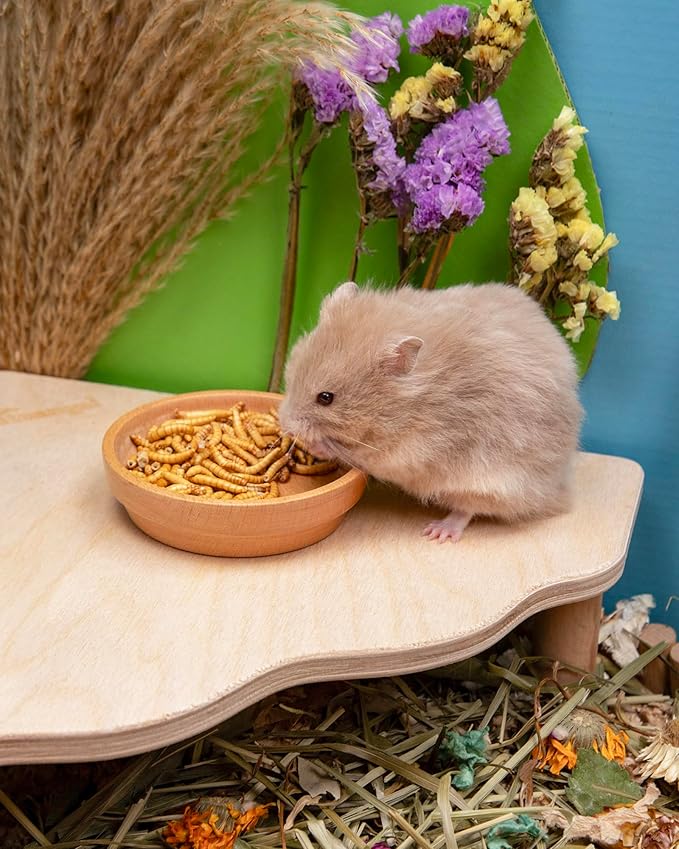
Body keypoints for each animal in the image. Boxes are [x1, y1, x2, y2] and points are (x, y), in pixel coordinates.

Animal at [278, 281, 583, 542]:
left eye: (326, 398)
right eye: (292, 371)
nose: (285, 425)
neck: (404, 406)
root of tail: (557, 491)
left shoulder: (406, 453)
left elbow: (354, 453)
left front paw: (316, 445)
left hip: (492, 482)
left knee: (467, 508)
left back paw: (438, 532)